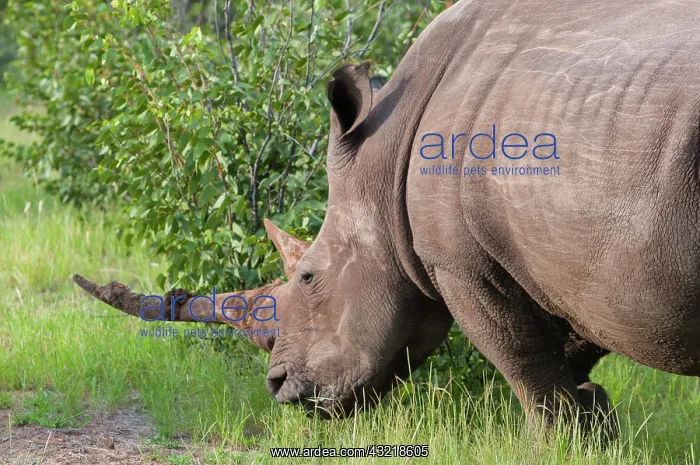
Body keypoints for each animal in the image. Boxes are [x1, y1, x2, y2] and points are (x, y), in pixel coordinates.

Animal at [75, 0, 700, 437]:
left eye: (309, 276)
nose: (277, 386)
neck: (385, 156)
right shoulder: (573, 263)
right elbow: (568, 356)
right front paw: (596, 423)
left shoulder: (461, 264)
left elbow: (525, 364)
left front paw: (560, 442)